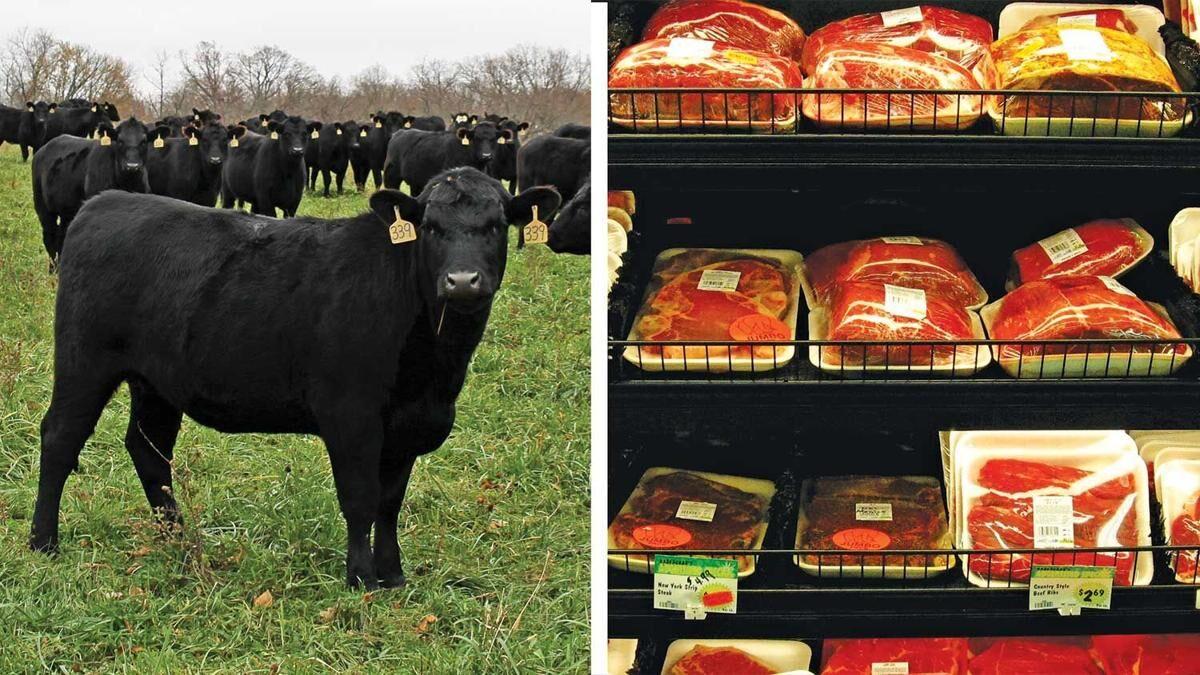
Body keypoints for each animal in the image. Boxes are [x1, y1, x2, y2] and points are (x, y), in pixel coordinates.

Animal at [29, 168, 561, 589]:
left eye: (496, 225)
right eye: (430, 227)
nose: (463, 281)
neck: (434, 369)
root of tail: (104, 201)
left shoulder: (409, 425)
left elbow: (390, 503)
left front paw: (393, 574)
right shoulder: (351, 416)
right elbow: (361, 499)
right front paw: (361, 578)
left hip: (156, 381)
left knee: (149, 450)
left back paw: (177, 539)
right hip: (84, 361)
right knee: (60, 438)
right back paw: (43, 542)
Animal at [31, 118, 151, 268]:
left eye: (144, 141)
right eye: (120, 140)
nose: (132, 166)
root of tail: (42, 149)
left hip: (67, 212)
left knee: (61, 236)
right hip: (43, 208)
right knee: (49, 237)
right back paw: (53, 269)